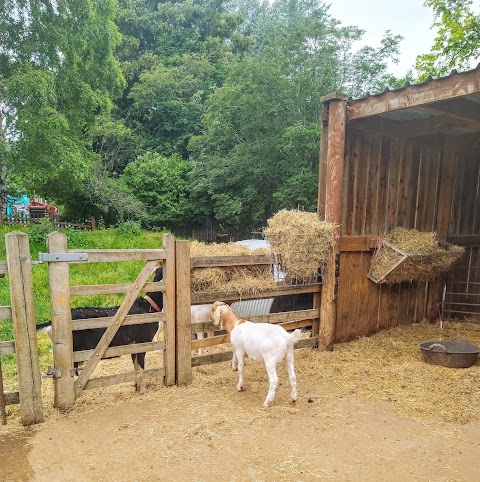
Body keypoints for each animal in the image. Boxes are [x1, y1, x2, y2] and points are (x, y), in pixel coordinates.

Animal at [37, 266, 165, 394]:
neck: (149, 306)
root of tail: (50, 324)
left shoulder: (133, 346)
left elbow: (135, 366)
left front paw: (135, 385)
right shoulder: (142, 343)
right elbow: (141, 368)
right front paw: (143, 390)